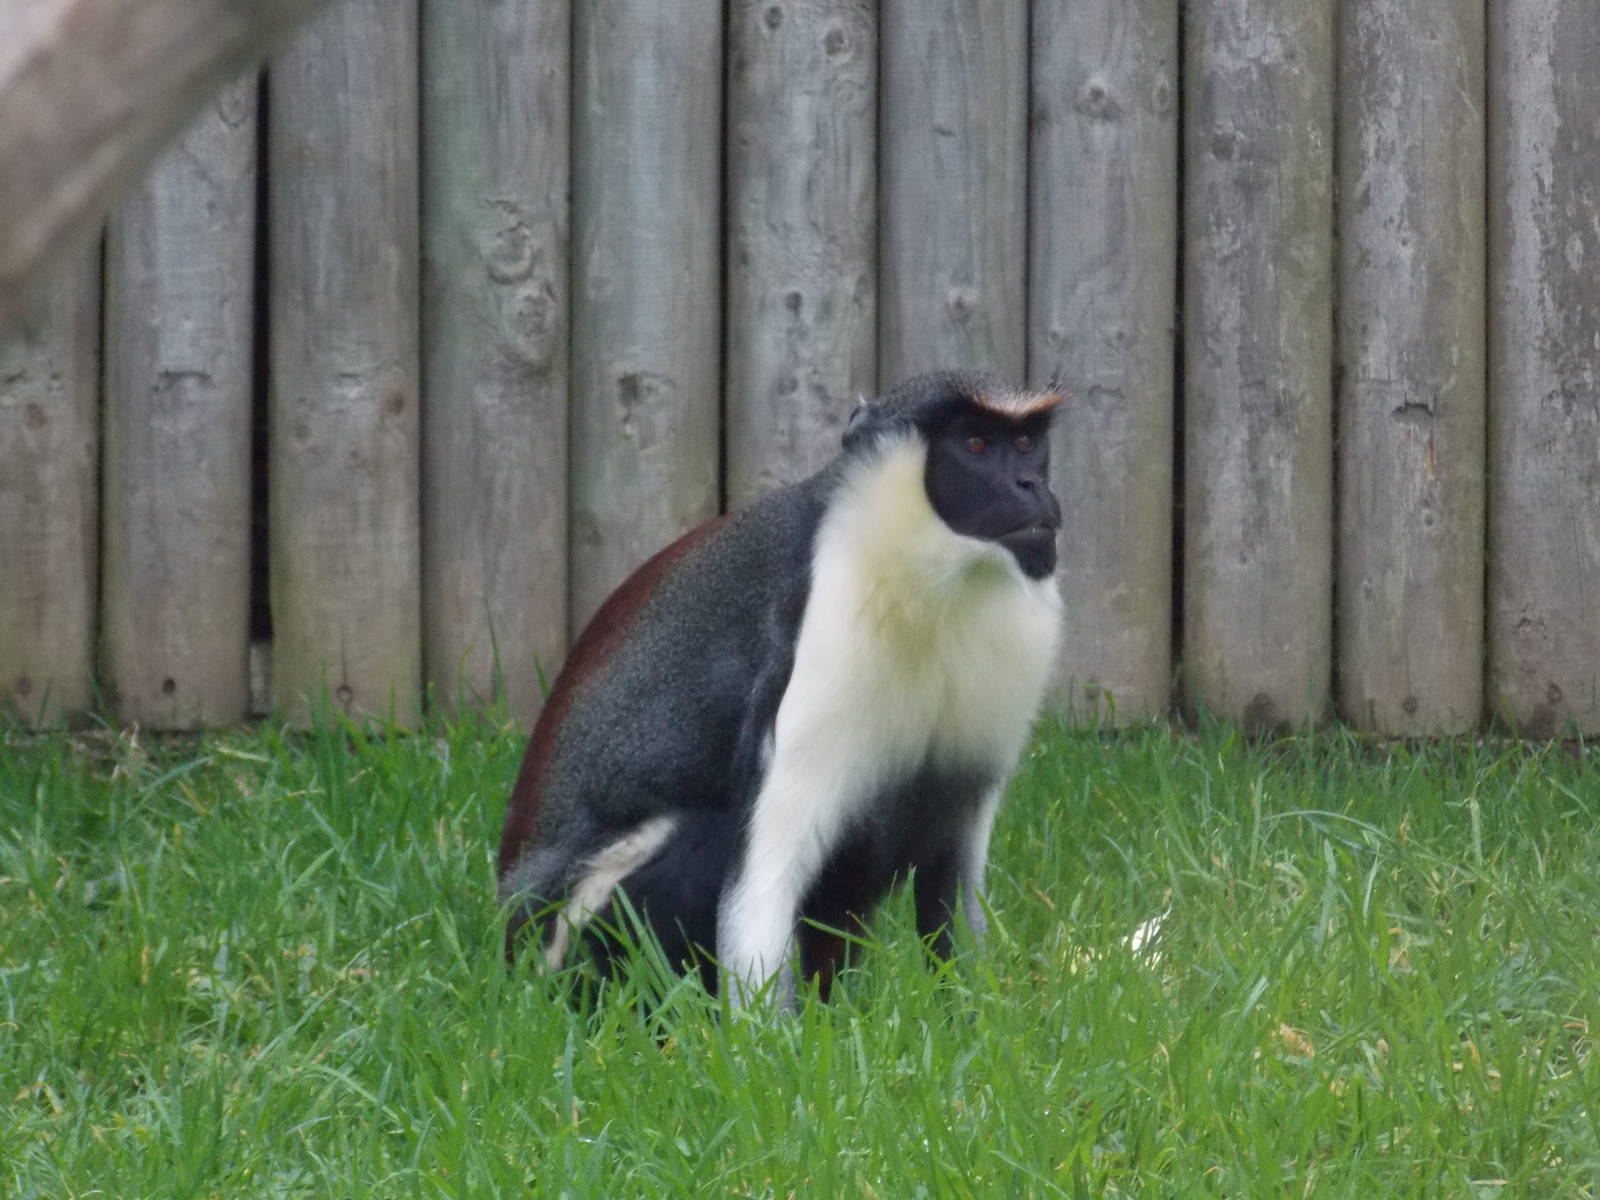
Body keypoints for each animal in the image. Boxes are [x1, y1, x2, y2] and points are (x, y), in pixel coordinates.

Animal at [497, 370, 1064, 1005]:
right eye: (975, 443)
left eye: (1026, 443)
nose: (1032, 484)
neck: (932, 579)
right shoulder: (815, 637)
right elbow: (765, 878)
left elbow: (952, 875)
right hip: (582, 923)